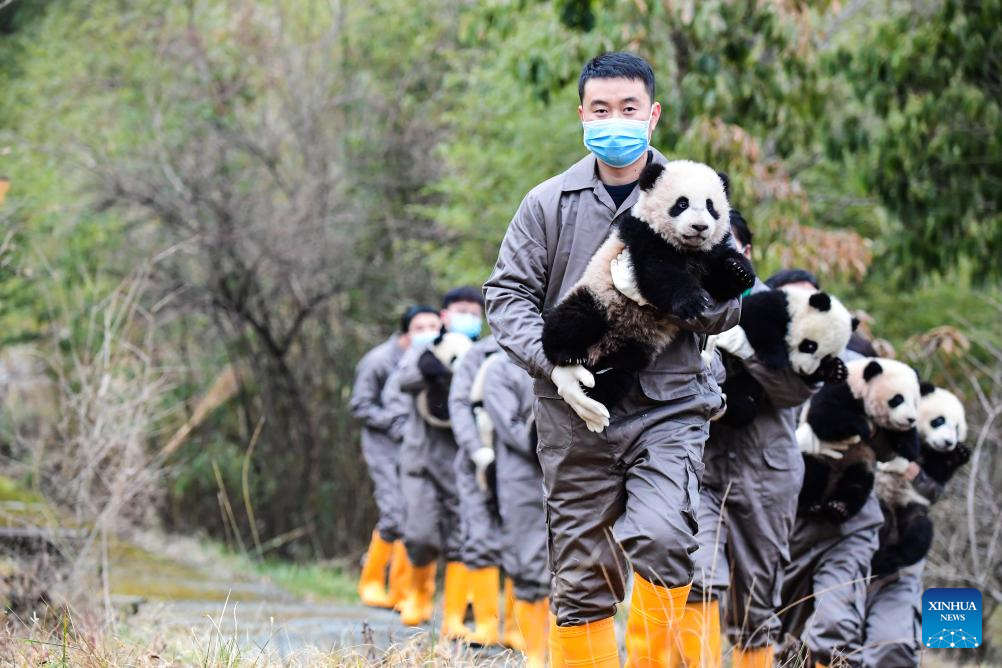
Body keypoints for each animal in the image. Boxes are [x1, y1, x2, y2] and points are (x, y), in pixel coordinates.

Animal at [541, 160, 755, 409]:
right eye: (682, 203)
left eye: (710, 206)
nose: (700, 227)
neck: (688, 250)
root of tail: (596, 352)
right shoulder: (642, 237)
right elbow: (657, 273)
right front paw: (691, 301)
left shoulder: (708, 255)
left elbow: (720, 283)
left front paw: (740, 270)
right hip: (599, 296)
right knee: (574, 318)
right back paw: (568, 354)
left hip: (636, 347)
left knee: (619, 373)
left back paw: (596, 389)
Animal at [717, 286, 856, 428]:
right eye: (810, 346)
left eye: (826, 357)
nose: (804, 370)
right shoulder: (776, 306)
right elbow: (758, 320)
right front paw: (775, 357)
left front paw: (837, 370)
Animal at [795, 357, 922, 523]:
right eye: (898, 399)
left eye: (915, 402)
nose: (911, 419)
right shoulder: (841, 390)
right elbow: (824, 416)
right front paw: (863, 427)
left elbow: (904, 440)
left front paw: (909, 448)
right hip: (819, 456)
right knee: (811, 474)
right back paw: (809, 506)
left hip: (860, 461)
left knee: (857, 483)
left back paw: (838, 508)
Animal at [870, 383, 969, 576]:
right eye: (939, 420)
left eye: (956, 428)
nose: (949, 442)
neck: (924, 444)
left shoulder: (932, 463)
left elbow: (937, 476)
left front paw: (960, 453)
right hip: (879, 498)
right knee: (882, 517)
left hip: (911, 508)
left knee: (919, 531)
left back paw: (891, 558)